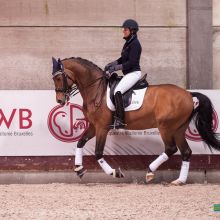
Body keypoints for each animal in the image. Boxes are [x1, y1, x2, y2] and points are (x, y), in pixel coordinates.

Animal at [52, 56, 220, 184]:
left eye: (59, 77)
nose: (60, 101)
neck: (96, 91)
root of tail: (189, 95)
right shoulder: (94, 126)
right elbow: (80, 142)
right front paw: (79, 169)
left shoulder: (102, 127)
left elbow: (98, 153)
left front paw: (115, 173)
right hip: (178, 129)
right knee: (186, 151)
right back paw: (179, 181)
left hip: (166, 127)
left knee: (171, 149)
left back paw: (150, 171)